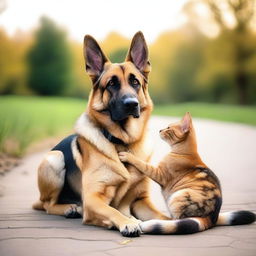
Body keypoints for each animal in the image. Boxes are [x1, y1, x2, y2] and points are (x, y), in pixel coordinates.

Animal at [33, 32, 169, 238]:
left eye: (135, 82)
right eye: (111, 83)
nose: (132, 104)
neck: (123, 141)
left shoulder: (141, 200)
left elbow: (162, 216)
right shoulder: (93, 199)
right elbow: (113, 211)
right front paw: (128, 222)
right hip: (55, 158)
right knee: (48, 205)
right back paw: (69, 208)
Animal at [119, 112, 255, 234]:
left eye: (169, 128)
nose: (160, 130)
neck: (185, 152)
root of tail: (211, 219)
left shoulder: (159, 173)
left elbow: (142, 164)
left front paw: (127, 155)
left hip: (179, 196)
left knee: (176, 221)